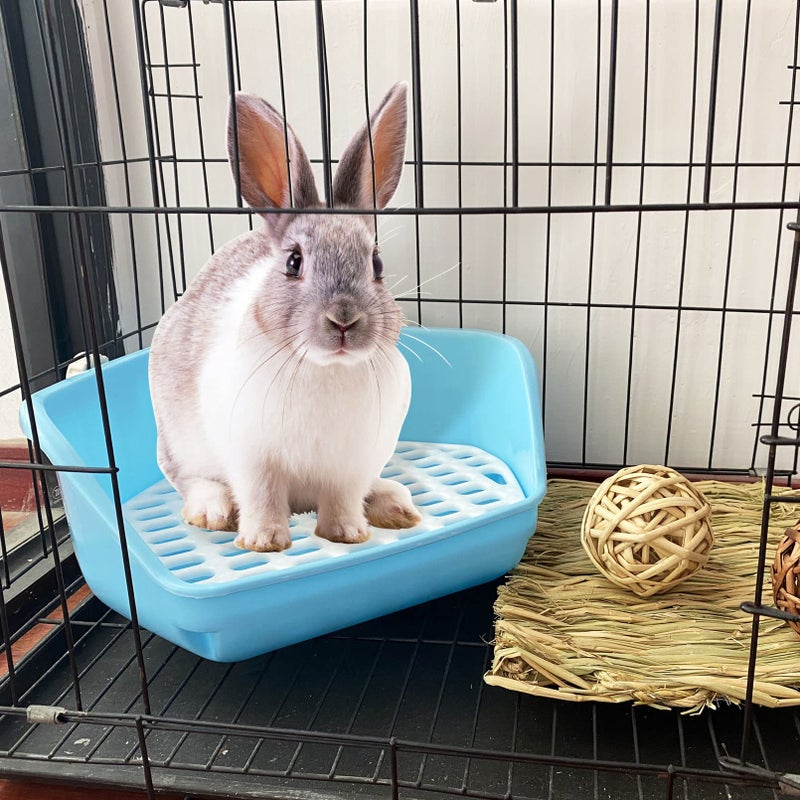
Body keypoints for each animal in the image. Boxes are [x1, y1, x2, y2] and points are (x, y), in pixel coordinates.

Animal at [148, 83, 422, 553]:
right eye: (294, 262)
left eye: (377, 263)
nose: (344, 320)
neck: (325, 368)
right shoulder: (252, 458)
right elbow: (261, 496)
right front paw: (264, 542)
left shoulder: (350, 465)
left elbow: (343, 499)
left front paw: (348, 535)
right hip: (179, 445)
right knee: (191, 479)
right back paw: (212, 511)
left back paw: (394, 506)